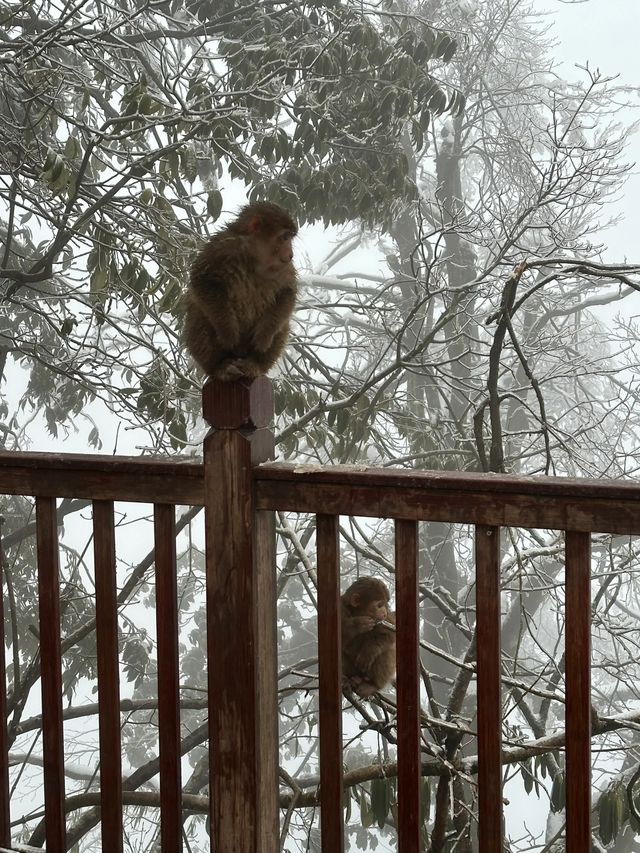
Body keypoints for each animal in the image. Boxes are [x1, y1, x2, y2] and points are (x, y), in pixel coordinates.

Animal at [182, 201, 298, 380]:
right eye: (285, 237)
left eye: (290, 237)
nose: (291, 254)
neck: (253, 257)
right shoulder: (223, 247)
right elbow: (202, 280)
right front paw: (228, 331)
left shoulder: (285, 268)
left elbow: (287, 293)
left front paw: (264, 335)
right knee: (198, 313)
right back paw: (220, 367)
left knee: (283, 325)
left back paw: (255, 365)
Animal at [340, 572, 396, 700]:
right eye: (379, 605)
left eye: (385, 604)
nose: (384, 612)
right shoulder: (340, 608)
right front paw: (356, 625)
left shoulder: (385, 619)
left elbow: (391, 634)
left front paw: (369, 651)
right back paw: (348, 680)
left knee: (387, 650)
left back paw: (372, 685)